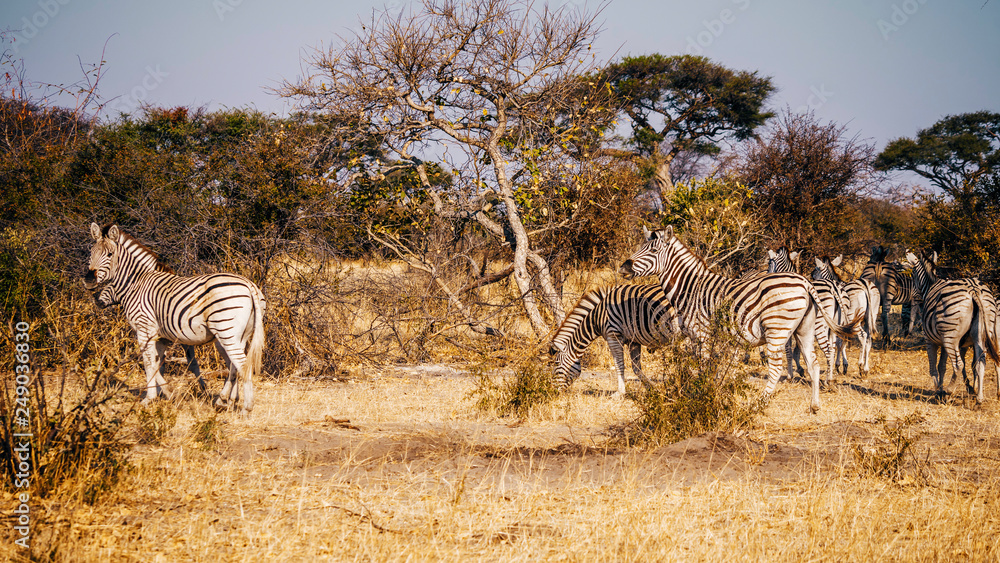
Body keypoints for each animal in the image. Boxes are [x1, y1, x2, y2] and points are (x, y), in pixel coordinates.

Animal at [83, 223, 265, 412]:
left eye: (110, 254)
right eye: (91, 253)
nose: (89, 280)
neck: (136, 284)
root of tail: (249, 284)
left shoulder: (144, 330)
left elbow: (149, 363)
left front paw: (150, 398)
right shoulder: (161, 337)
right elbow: (158, 364)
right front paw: (164, 393)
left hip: (225, 331)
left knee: (242, 364)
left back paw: (246, 407)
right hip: (239, 335)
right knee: (234, 365)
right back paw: (227, 400)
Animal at [550, 284, 681, 397]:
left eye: (556, 363)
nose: (552, 391)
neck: (598, 317)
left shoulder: (613, 336)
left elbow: (619, 365)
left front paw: (620, 392)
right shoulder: (633, 341)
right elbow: (636, 368)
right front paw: (653, 388)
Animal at [619, 226, 862, 413]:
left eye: (652, 250)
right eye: (640, 247)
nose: (623, 267)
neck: (691, 288)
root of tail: (805, 283)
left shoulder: (702, 333)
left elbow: (704, 366)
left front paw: (703, 393)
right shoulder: (697, 336)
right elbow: (702, 367)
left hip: (777, 329)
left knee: (776, 367)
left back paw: (759, 402)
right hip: (804, 329)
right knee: (813, 364)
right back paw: (814, 405)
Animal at [906, 251, 1000, 403]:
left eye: (913, 275)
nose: (912, 297)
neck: (932, 285)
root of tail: (974, 290)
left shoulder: (930, 340)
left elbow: (933, 367)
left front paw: (939, 391)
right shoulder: (946, 341)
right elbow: (942, 366)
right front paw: (942, 389)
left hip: (951, 336)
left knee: (958, 364)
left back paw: (949, 391)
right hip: (982, 334)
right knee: (981, 362)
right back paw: (979, 399)